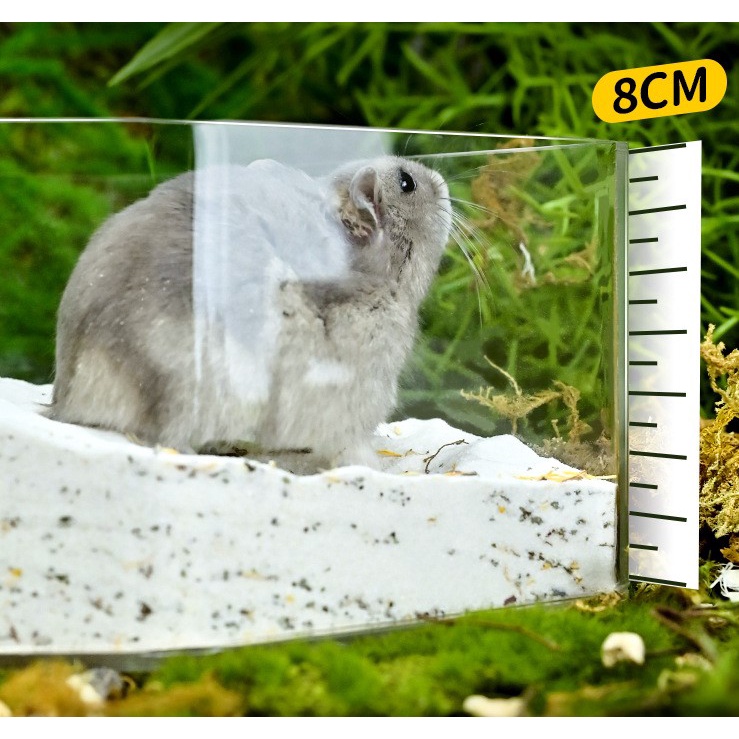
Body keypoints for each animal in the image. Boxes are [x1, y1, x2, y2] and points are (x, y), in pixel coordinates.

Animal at [49, 156, 452, 472]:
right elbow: (353, 448)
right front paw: (373, 468)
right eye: (407, 182)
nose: (443, 181)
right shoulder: (358, 394)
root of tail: (67, 403)